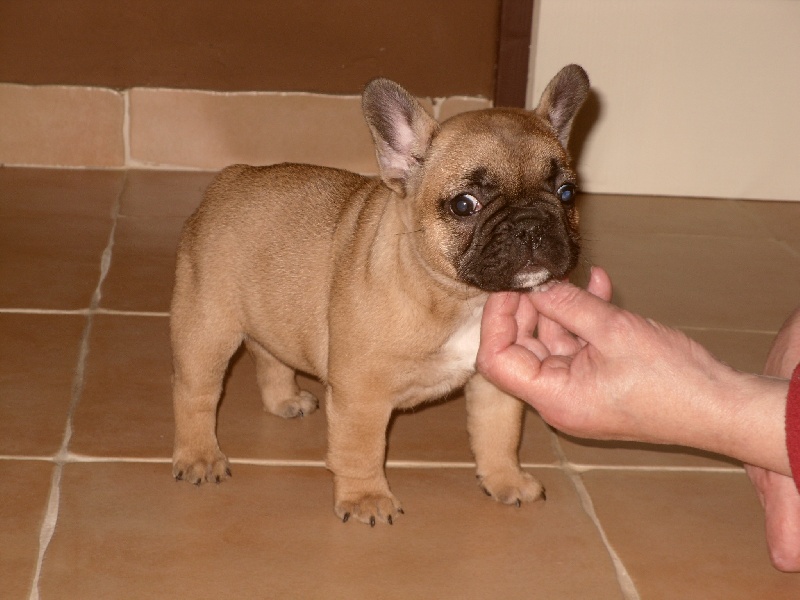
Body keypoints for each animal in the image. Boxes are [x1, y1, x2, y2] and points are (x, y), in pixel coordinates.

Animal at [172, 64, 592, 524]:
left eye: (567, 194)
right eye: (465, 205)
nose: (531, 225)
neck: (461, 298)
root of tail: (230, 178)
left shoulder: (494, 382)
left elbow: (499, 434)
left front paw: (506, 480)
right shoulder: (361, 394)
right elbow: (361, 449)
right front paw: (365, 498)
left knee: (269, 354)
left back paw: (284, 399)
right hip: (207, 328)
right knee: (195, 393)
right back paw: (199, 456)